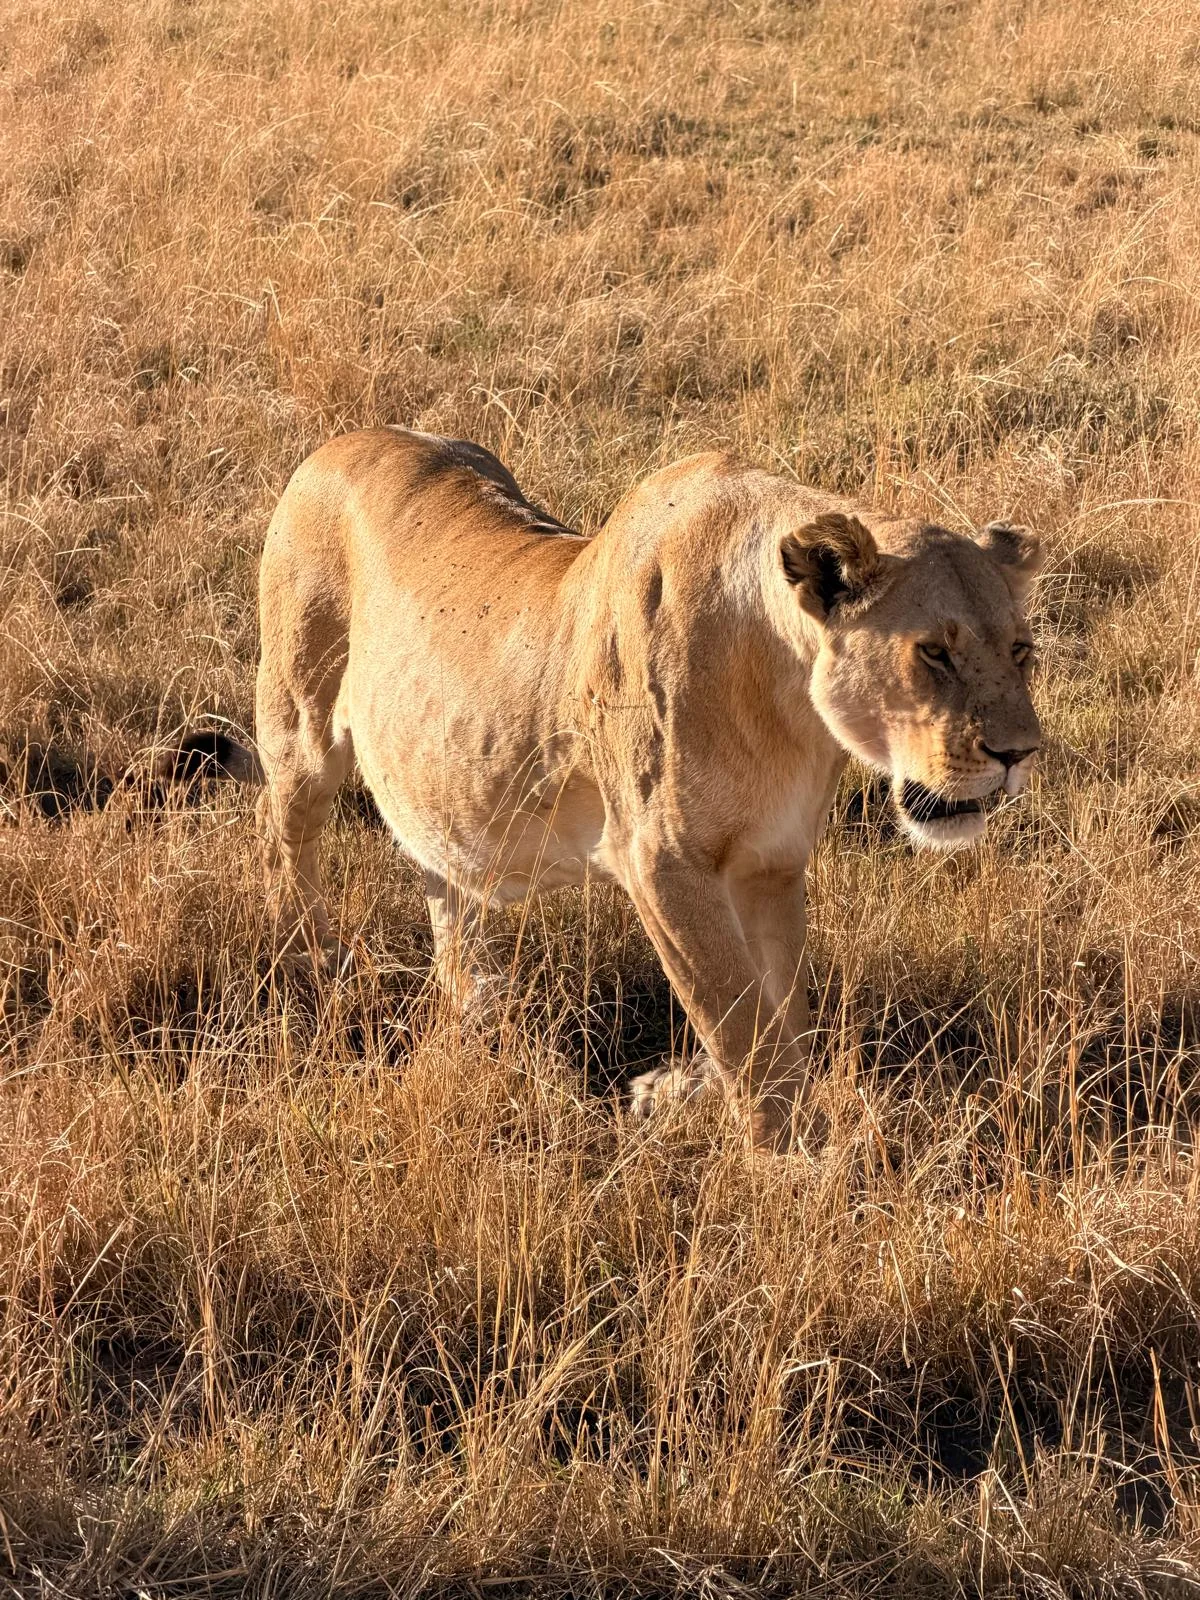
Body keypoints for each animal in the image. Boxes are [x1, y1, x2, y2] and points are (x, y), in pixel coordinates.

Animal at [247, 427, 1042, 1149]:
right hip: (301, 725)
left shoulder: (773, 862)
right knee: (282, 829)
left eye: (1020, 650)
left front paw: (697, 1101)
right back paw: (312, 966)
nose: (1019, 754)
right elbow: (742, 1023)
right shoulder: (661, 859)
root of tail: (337, 443)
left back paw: (474, 1002)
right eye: (933, 652)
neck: (789, 698)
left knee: (440, 871)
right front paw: (794, 1164)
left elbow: (782, 1007)